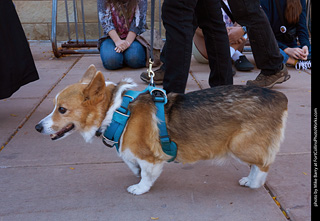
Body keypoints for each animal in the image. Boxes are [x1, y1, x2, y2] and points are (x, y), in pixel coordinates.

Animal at [35, 64, 288, 195]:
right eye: (55, 106)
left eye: (62, 109)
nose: (37, 127)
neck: (115, 110)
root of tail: (279, 98)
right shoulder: (131, 151)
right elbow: (130, 161)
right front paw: (135, 172)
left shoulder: (149, 157)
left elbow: (147, 174)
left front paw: (139, 187)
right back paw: (249, 180)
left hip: (239, 145)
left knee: (264, 163)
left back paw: (254, 183)